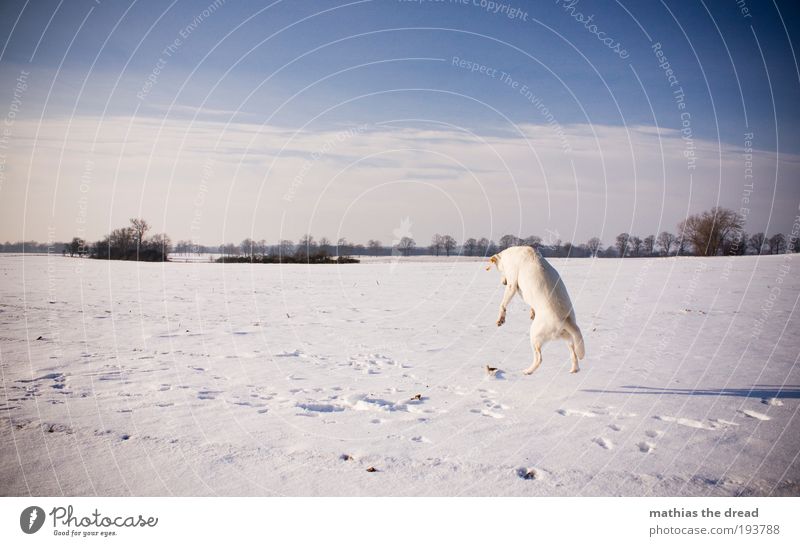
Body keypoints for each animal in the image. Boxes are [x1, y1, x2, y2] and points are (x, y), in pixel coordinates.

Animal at [484, 244, 584, 372]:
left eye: (500, 271)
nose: (503, 283)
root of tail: (566, 320)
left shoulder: (512, 285)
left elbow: (503, 304)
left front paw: (500, 319)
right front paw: (532, 312)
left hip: (534, 336)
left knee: (539, 359)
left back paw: (527, 371)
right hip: (569, 339)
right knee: (574, 354)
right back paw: (573, 370)